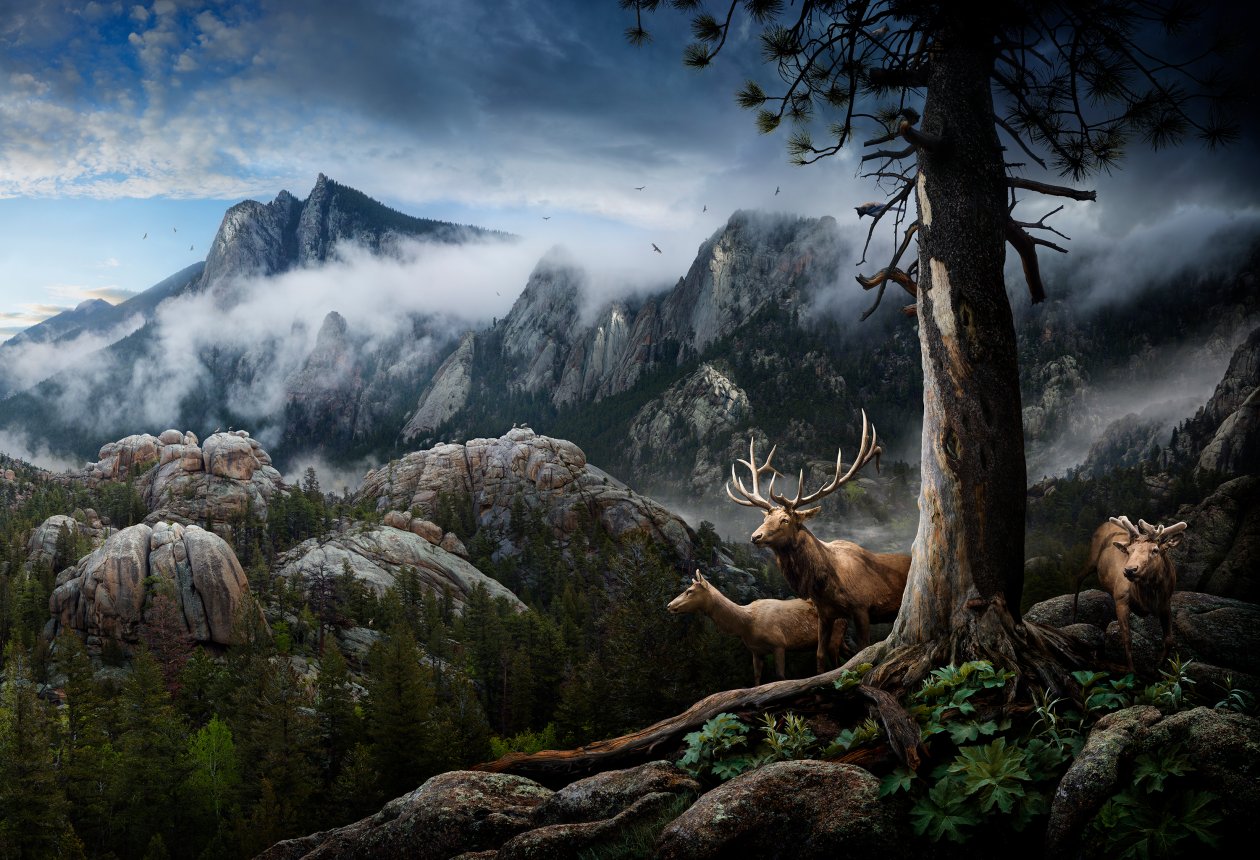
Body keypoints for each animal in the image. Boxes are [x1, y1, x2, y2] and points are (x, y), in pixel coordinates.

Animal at [667, 570, 845, 686]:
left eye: (689, 591)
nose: (669, 605)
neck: (747, 624)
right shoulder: (756, 651)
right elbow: (757, 679)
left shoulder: (779, 644)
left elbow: (781, 677)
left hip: (835, 637)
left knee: (837, 664)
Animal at [727, 411, 910, 672]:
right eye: (764, 518)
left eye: (785, 519)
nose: (755, 537)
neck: (827, 583)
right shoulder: (826, 614)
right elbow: (820, 655)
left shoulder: (862, 608)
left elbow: (862, 651)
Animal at [1073, 515, 1187, 673]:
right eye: (1129, 550)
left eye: (1155, 550)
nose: (1130, 569)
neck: (1148, 595)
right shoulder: (1121, 599)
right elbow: (1127, 638)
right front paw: (1132, 670)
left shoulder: (1165, 602)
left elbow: (1169, 639)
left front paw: (1158, 667)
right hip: (1092, 557)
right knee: (1078, 577)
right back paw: (1073, 618)